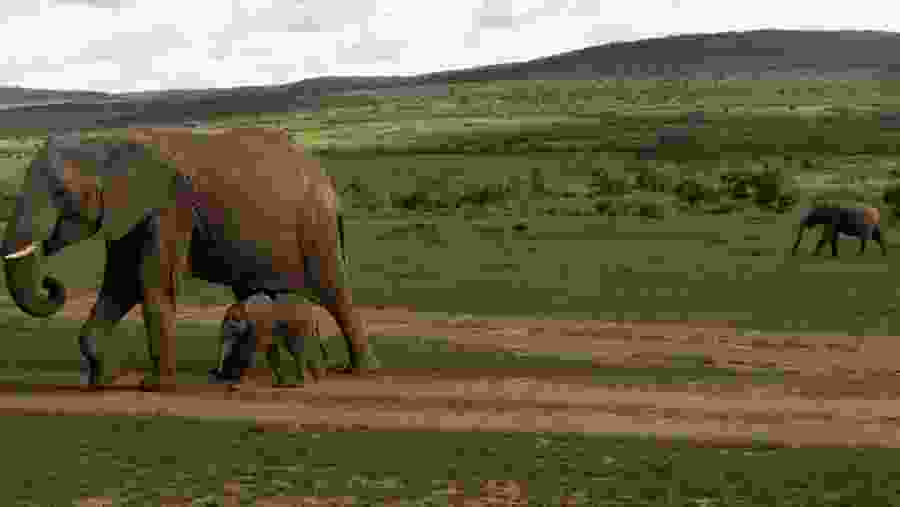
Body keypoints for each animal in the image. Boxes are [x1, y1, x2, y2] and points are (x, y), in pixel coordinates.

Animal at [0, 127, 379, 391]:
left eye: (62, 193)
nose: (51, 283)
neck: (108, 143)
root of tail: (327, 182)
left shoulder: (169, 210)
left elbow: (152, 285)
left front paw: (155, 387)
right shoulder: (129, 217)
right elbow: (120, 285)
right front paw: (101, 382)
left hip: (316, 227)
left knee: (335, 293)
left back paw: (359, 372)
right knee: (260, 295)